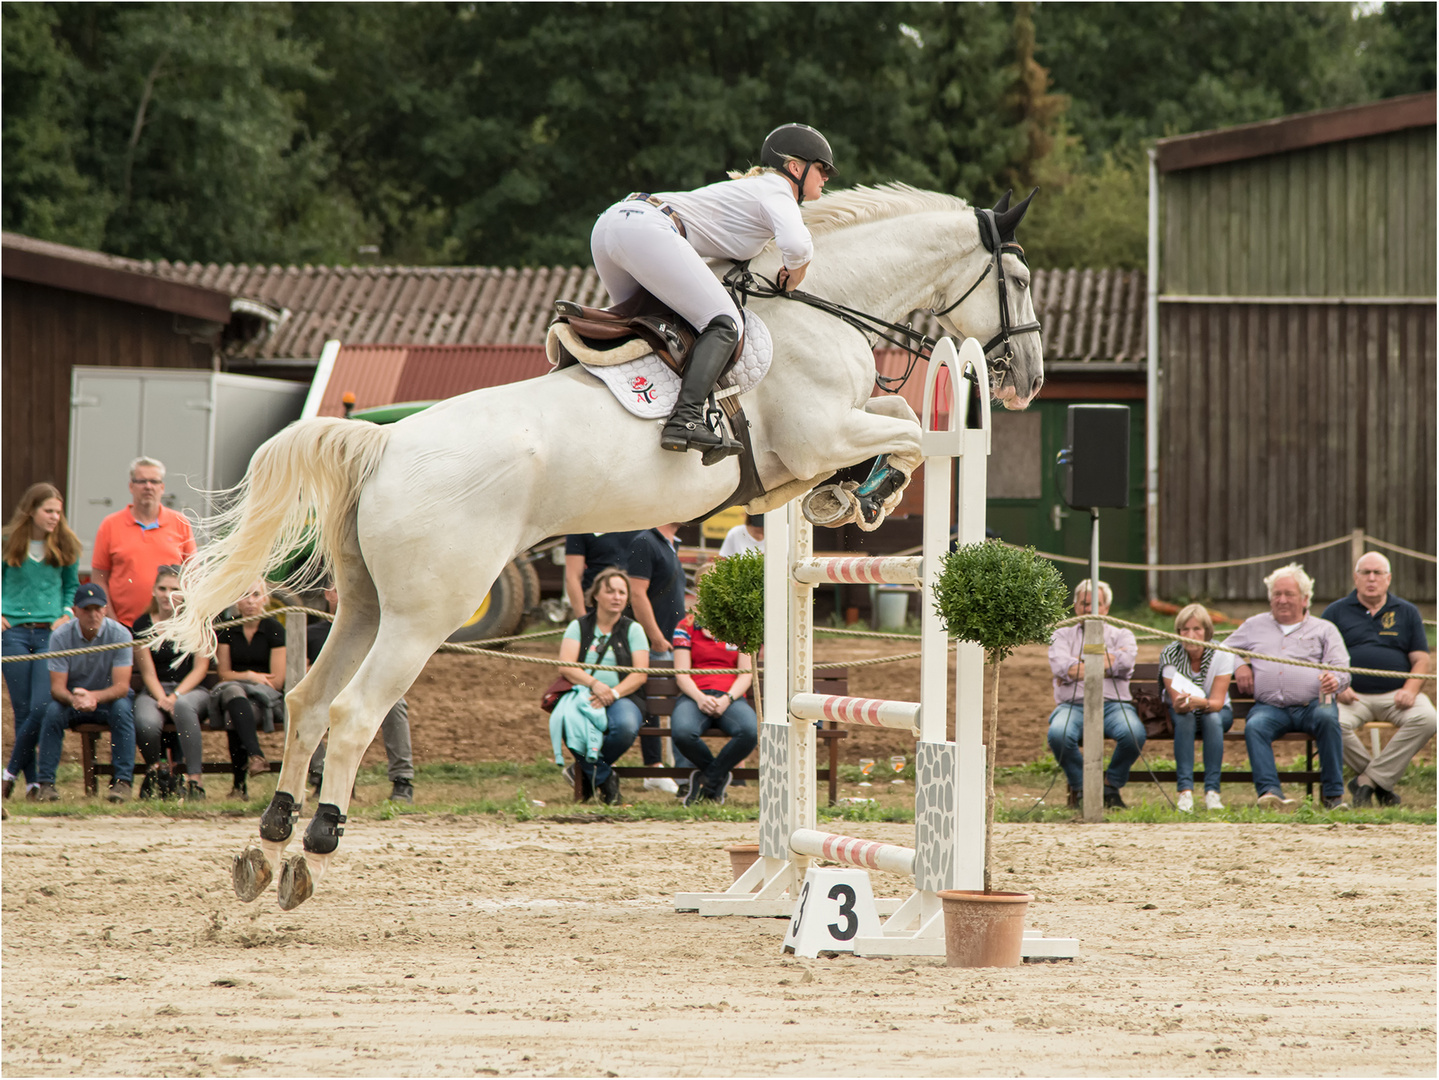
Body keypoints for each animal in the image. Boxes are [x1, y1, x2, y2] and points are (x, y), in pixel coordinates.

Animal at [165, 181, 1047, 908]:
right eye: (1022, 279)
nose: (1030, 378)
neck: (820, 306)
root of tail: (383, 443)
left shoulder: (820, 442)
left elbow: (889, 428)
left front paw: (844, 495)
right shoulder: (821, 430)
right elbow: (909, 431)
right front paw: (868, 492)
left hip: (364, 604)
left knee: (309, 704)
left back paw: (269, 844)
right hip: (427, 611)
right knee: (353, 714)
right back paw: (314, 844)